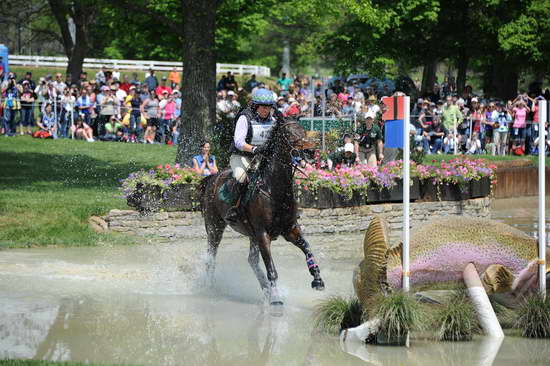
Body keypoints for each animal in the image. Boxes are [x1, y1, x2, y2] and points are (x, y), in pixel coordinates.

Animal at [199, 118, 326, 304]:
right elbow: (271, 268)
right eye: (289, 134)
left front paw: (317, 280)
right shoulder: (263, 234)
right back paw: (209, 287)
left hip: (251, 235)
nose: (310, 151)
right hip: (215, 227)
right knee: (211, 255)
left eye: (303, 131)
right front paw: (276, 299)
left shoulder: (290, 229)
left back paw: (265, 289)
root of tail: (212, 178)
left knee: (251, 260)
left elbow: (307, 248)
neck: (276, 190)